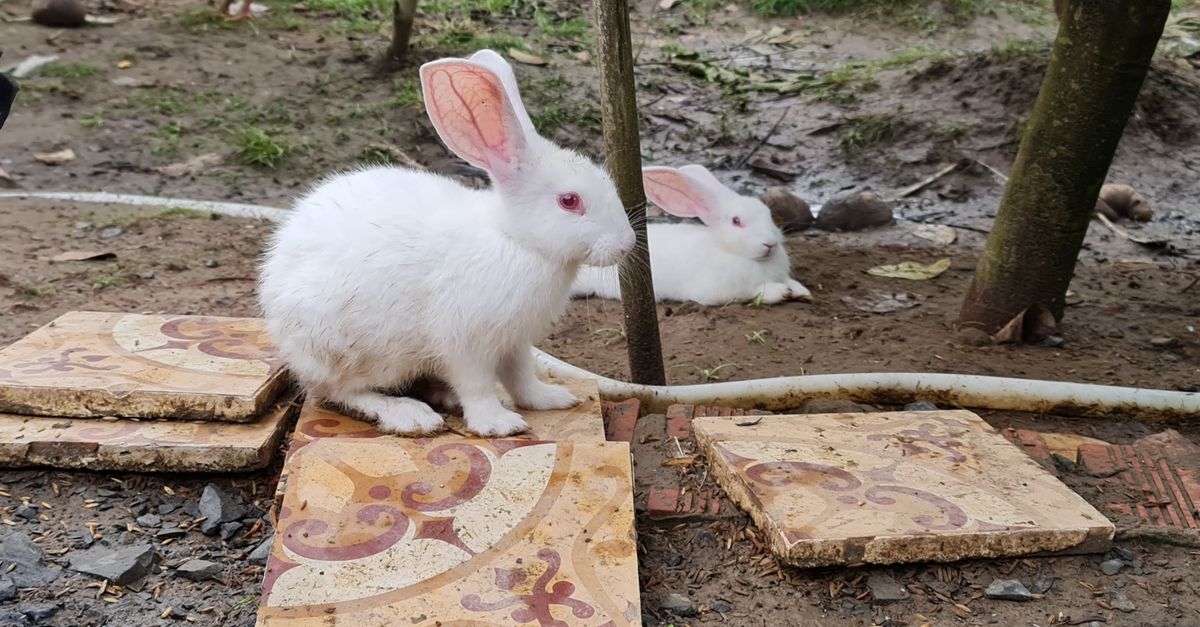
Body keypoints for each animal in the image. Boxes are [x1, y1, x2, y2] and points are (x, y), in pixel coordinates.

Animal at [258, 49, 635, 437]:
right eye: (569, 201)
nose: (626, 244)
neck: (515, 239)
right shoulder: (465, 343)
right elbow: (477, 385)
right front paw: (498, 424)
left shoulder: (515, 342)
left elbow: (521, 377)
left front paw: (550, 399)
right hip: (344, 350)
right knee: (340, 391)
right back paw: (409, 414)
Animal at [571, 164, 810, 306]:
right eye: (737, 221)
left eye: (768, 214)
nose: (770, 244)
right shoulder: (716, 292)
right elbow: (753, 292)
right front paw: (780, 292)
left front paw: (802, 291)